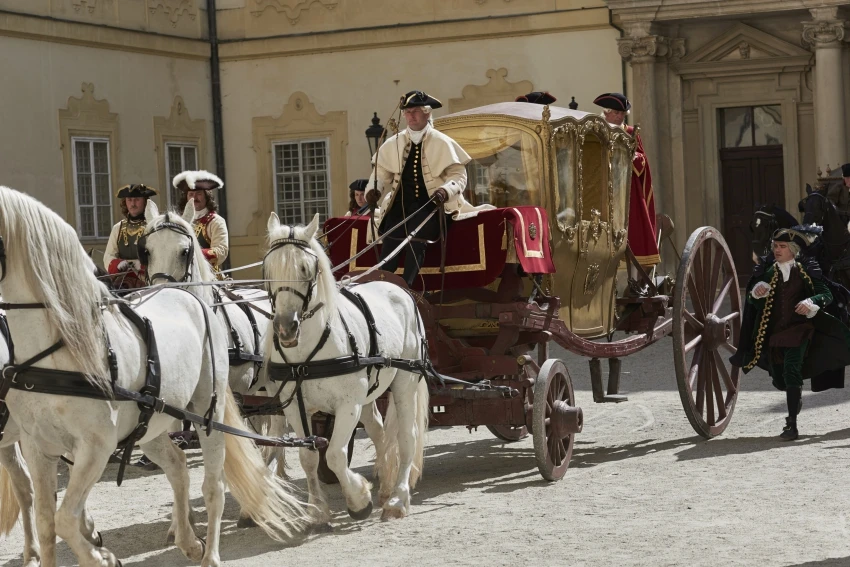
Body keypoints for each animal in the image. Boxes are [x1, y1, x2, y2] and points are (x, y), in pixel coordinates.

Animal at [0, 187, 306, 567]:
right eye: (145, 251)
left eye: (186, 250)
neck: (57, 350)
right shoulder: (37, 446)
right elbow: (46, 520)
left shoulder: (95, 447)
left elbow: (65, 518)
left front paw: (100, 555)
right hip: (154, 424)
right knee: (178, 465)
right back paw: (190, 538)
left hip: (211, 412)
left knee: (218, 482)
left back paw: (215, 547)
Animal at [262, 213, 428, 524]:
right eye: (268, 268)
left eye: (306, 268)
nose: (286, 327)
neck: (305, 356)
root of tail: (399, 289)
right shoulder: (295, 407)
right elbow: (308, 458)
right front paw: (317, 510)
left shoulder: (348, 404)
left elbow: (335, 455)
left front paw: (358, 500)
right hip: (370, 391)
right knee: (378, 430)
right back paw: (386, 489)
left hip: (405, 380)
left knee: (406, 437)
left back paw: (398, 499)